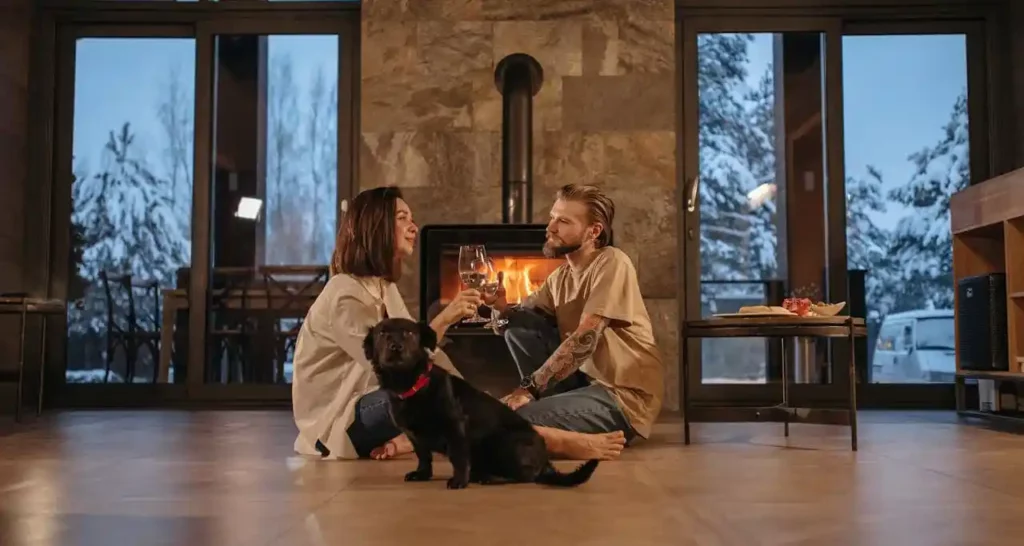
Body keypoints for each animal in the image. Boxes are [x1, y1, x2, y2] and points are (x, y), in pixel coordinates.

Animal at [364, 315, 598, 489]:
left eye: (409, 333)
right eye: (382, 333)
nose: (395, 347)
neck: (411, 384)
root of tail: (545, 462)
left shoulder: (455, 427)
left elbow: (458, 457)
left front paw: (459, 481)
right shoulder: (414, 436)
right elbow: (424, 457)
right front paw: (421, 474)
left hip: (503, 443)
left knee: (524, 476)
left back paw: (489, 477)